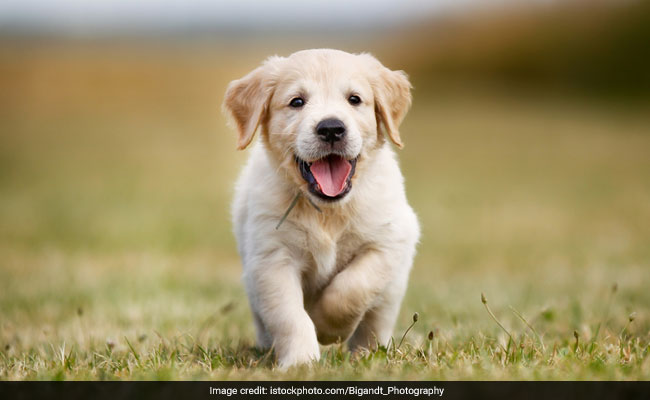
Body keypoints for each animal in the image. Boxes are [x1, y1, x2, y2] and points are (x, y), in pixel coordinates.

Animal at [223, 47, 418, 368]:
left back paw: (368, 354)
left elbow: (353, 287)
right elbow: (290, 316)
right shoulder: (271, 259)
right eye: (297, 102)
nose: (331, 128)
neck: (328, 211)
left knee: (375, 321)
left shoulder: (388, 242)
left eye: (354, 99)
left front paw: (327, 328)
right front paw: (301, 361)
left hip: (392, 290)